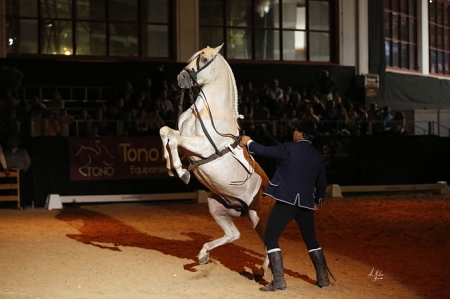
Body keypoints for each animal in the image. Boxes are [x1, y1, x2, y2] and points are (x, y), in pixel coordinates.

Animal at [160, 44, 272, 272]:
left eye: (203, 60)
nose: (181, 77)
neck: (208, 110)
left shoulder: (202, 146)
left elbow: (173, 140)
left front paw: (182, 172)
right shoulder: (184, 137)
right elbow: (165, 132)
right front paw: (170, 166)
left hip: (258, 217)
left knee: (270, 242)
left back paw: (263, 271)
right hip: (217, 206)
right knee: (234, 234)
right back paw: (203, 255)